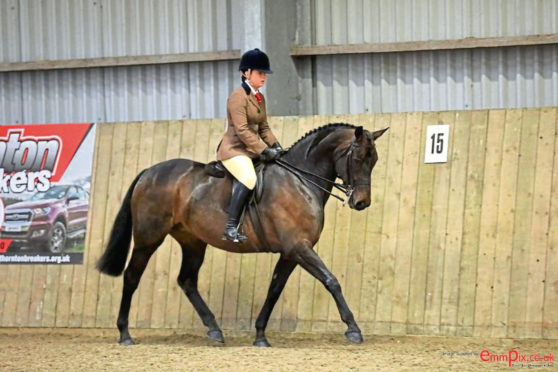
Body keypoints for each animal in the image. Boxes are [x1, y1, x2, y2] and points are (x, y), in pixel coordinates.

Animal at [96, 123, 390, 348]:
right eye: (358, 158)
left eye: (374, 160)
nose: (362, 203)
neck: (299, 181)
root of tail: (149, 172)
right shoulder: (299, 247)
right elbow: (331, 281)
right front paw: (353, 329)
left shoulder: (290, 252)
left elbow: (274, 289)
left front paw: (260, 335)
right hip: (149, 238)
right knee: (132, 277)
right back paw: (125, 334)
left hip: (193, 241)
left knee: (187, 280)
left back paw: (214, 329)